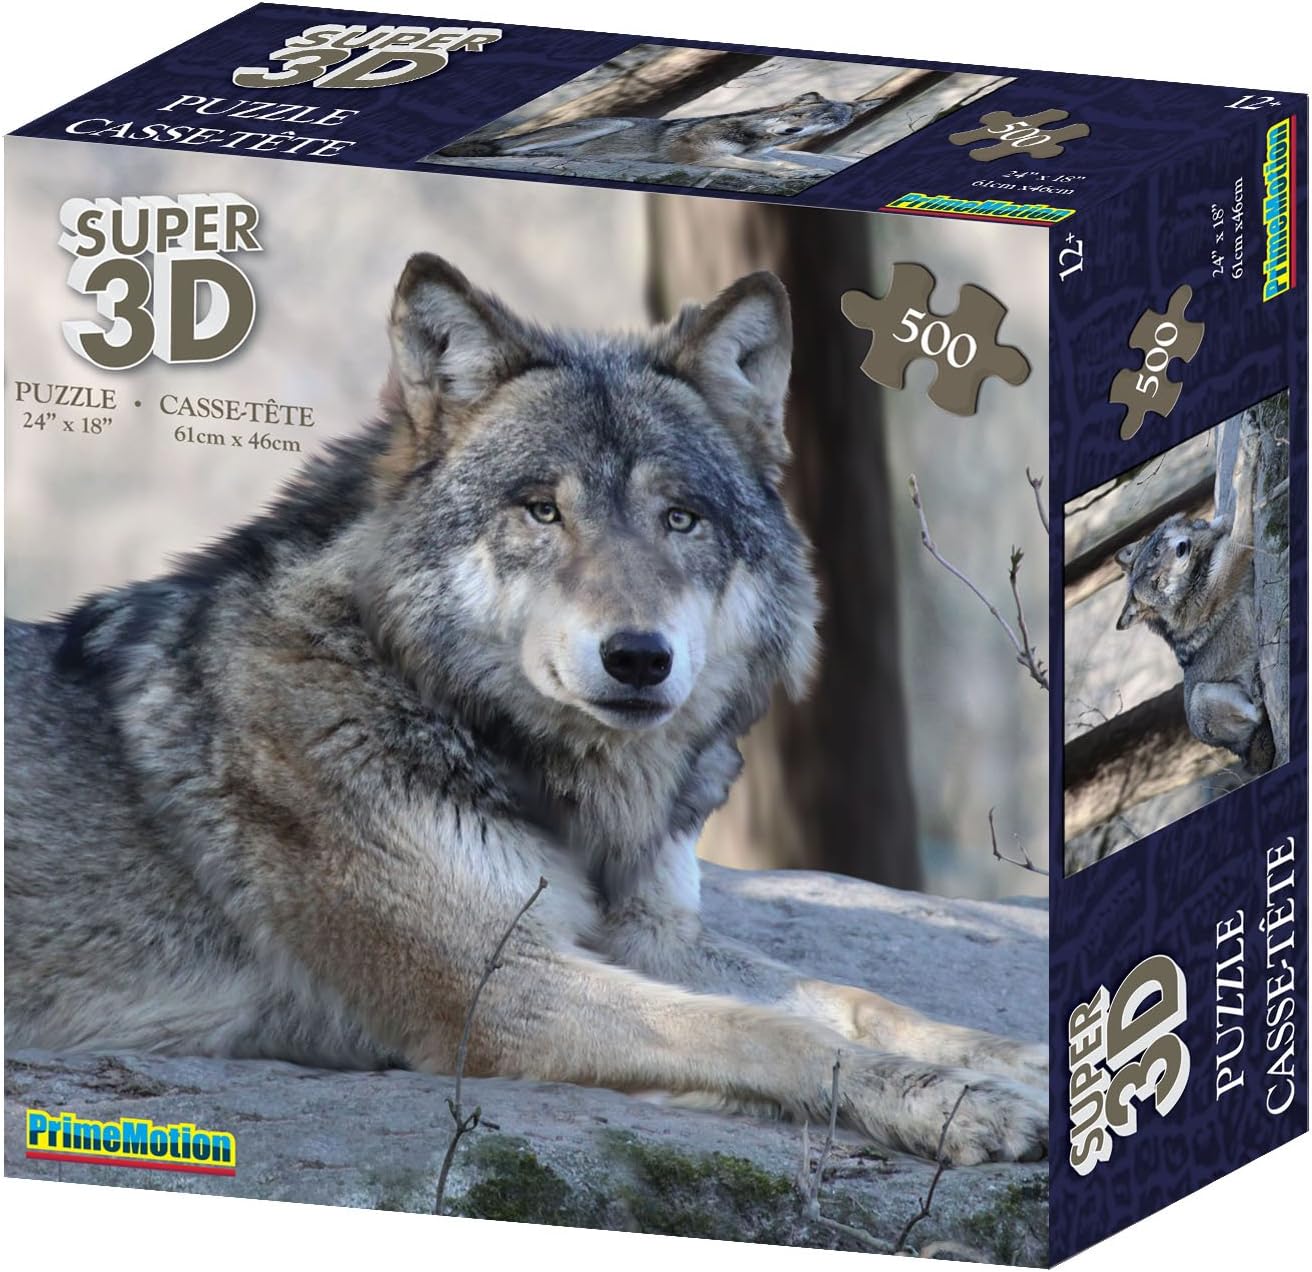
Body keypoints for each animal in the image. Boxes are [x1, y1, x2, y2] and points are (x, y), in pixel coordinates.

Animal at [5, 254, 1047, 1165]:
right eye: (542, 510)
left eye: (682, 518)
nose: (639, 657)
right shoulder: (495, 987)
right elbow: (770, 1034)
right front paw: (956, 1104)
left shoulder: (654, 935)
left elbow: (860, 999)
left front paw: (1024, 1061)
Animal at [1116, 511, 1274, 774]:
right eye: (1157, 582)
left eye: (1157, 551)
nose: (1182, 548)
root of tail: (1240, 754)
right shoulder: (1235, 551)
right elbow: (1241, 517)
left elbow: (1228, 520)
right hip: (1202, 696)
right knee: (1258, 714)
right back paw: (1259, 695)